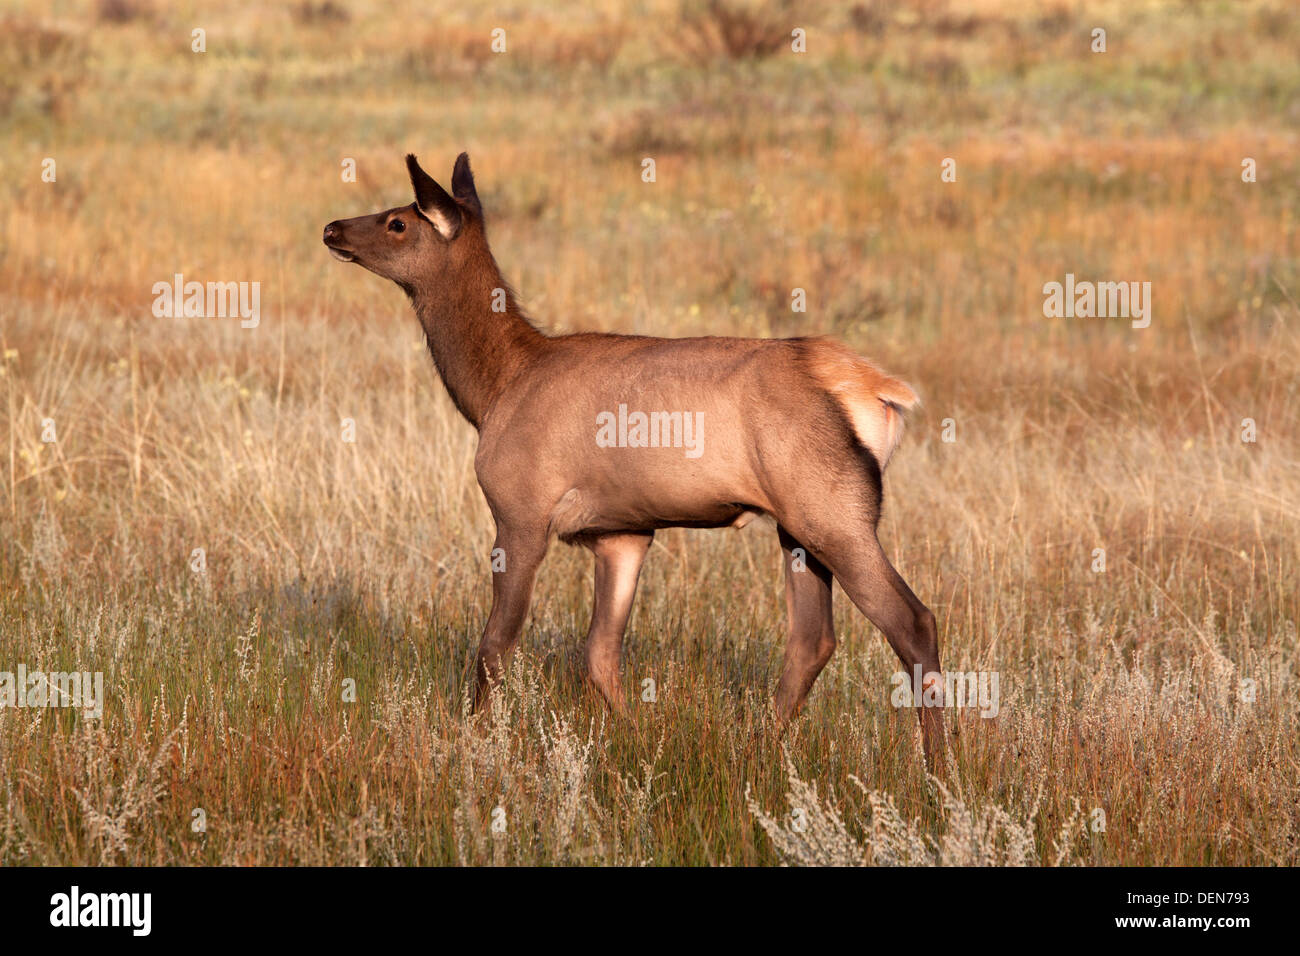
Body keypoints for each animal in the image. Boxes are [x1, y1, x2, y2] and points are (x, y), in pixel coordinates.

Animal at [319, 157, 941, 770]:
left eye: (398, 221)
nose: (331, 228)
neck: (493, 387)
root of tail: (878, 390)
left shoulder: (521, 511)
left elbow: (496, 645)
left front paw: (473, 742)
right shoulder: (623, 532)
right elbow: (599, 654)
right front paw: (639, 740)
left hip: (833, 508)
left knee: (912, 620)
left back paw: (936, 766)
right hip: (796, 523)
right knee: (813, 638)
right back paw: (758, 743)